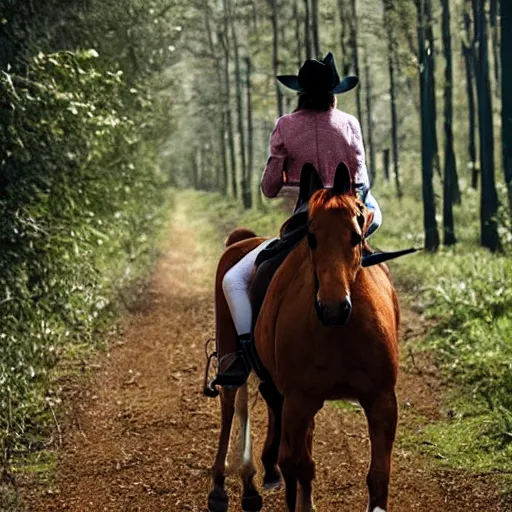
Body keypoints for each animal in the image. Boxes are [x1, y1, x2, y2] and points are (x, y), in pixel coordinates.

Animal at [208, 164, 408, 512]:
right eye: (311, 238)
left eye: (356, 237)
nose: (332, 308)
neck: (341, 332)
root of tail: (242, 241)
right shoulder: (299, 401)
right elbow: (297, 465)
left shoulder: (381, 400)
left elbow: (377, 476)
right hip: (233, 350)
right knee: (233, 402)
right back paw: (224, 486)